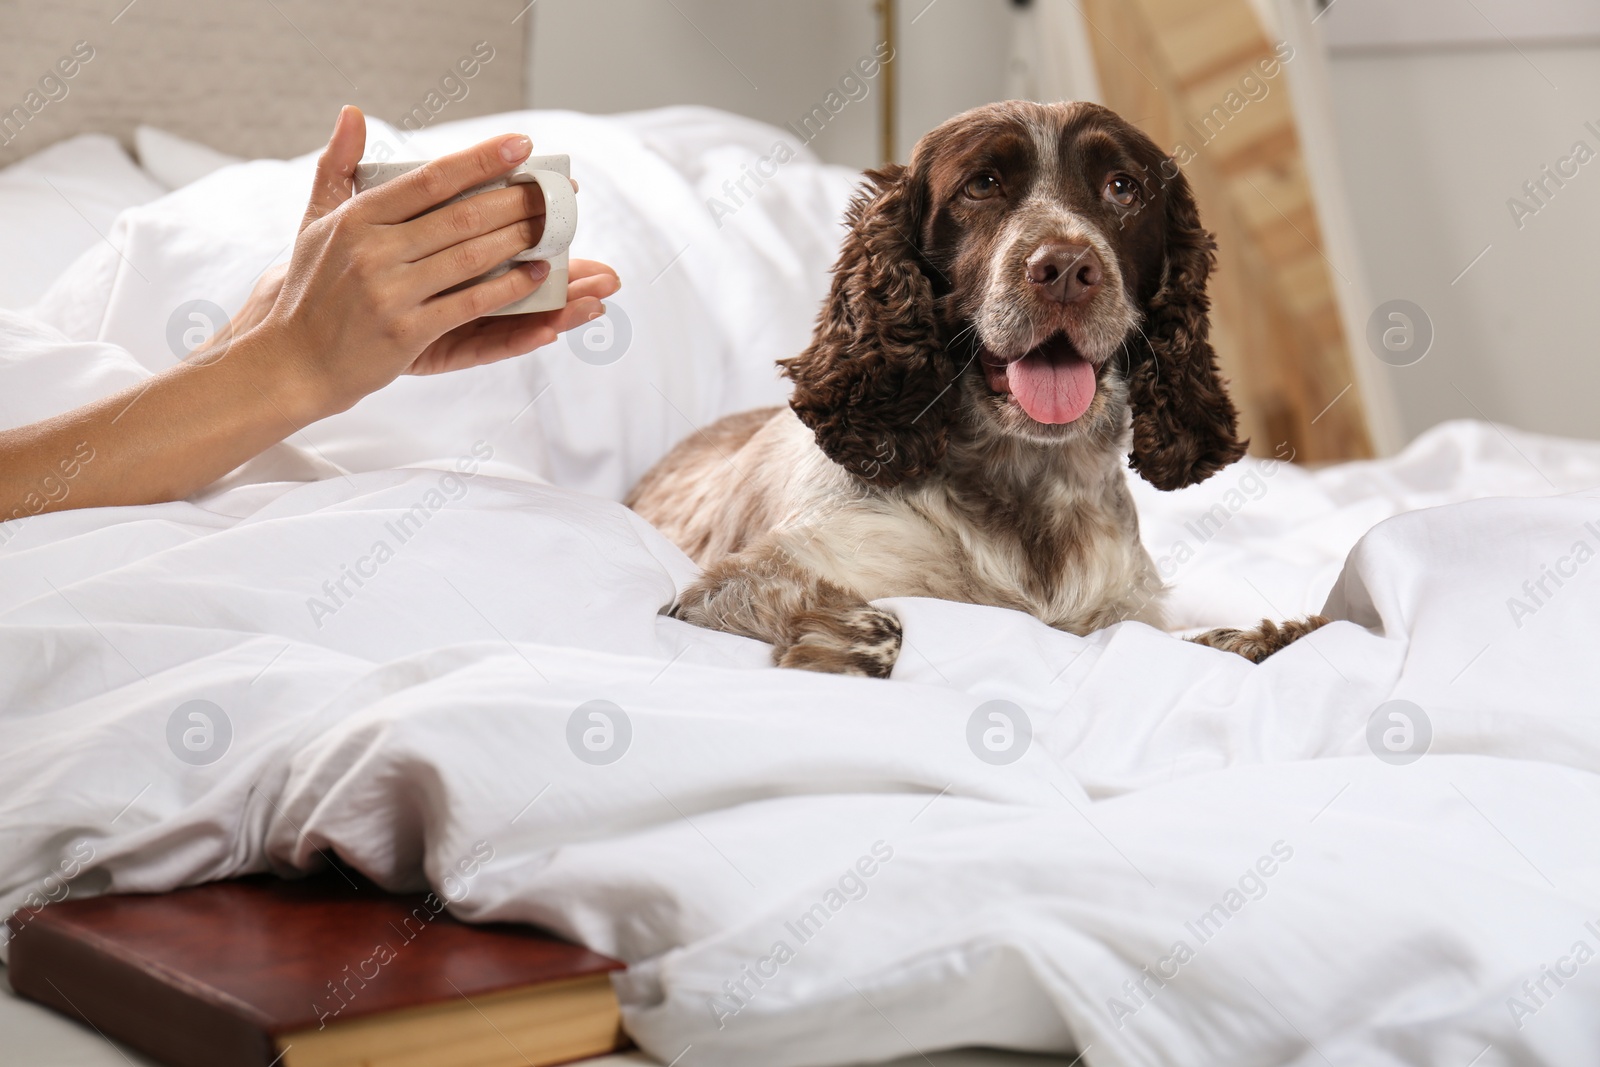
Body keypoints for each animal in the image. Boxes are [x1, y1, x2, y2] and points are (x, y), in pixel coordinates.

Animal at [627, 103, 1324, 681]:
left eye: (1122, 187)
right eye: (982, 185)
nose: (1066, 269)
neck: (1030, 486)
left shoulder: (1124, 614)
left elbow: (1223, 639)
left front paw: (1274, 633)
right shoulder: (724, 589)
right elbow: (879, 624)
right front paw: (830, 645)